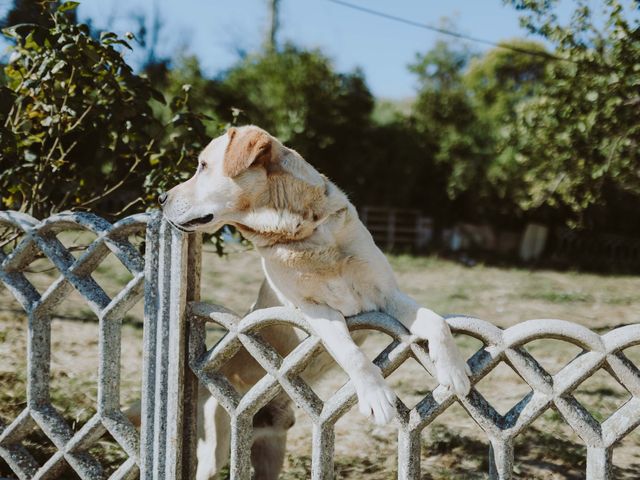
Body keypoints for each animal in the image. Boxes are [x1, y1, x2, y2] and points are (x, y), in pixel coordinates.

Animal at [160, 125, 470, 478]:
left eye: (202, 166)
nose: (160, 198)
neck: (302, 233)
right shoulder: (316, 311)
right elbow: (352, 354)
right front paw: (377, 396)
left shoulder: (387, 295)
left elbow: (435, 321)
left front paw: (454, 371)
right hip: (218, 445)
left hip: (273, 450)